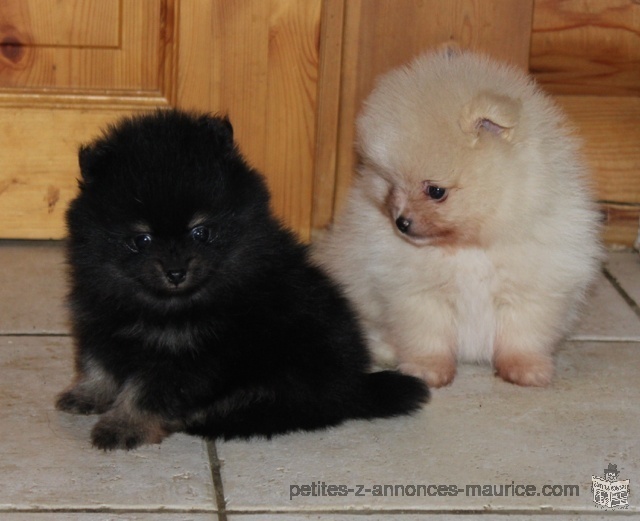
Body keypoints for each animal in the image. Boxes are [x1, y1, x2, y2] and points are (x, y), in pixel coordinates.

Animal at [57, 107, 428, 448]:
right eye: (141, 240)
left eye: (201, 232)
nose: (176, 272)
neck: (164, 305)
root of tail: (356, 387)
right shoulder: (99, 317)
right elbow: (96, 361)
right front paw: (87, 394)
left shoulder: (186, 356)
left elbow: (149, 393)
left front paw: (124, 427)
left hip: (284, 373)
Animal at [316, 50, 604, 388]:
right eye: (390, 185)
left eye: (435, 191)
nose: (401, 222)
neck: (471, 247)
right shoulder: (417, 292)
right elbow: (427, 335)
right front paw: (427, 369)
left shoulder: (534, 286)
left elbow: (523, 334)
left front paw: (525, 368)